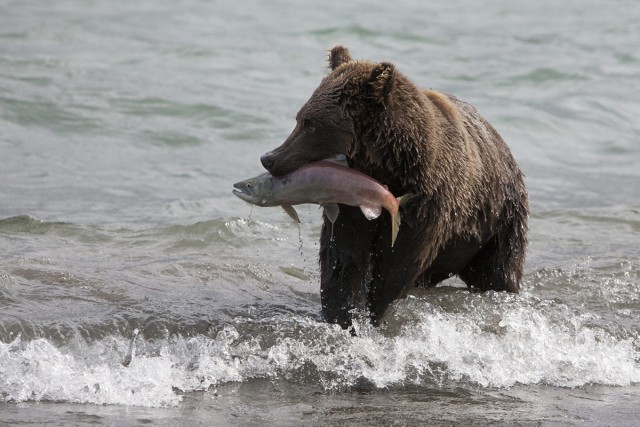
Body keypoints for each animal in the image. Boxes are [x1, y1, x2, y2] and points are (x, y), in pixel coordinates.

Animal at [260, 45, 528, 330]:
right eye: (299, 118)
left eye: (310, 124)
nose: (269, 158)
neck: (384, 169)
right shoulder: (349, 207)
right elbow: (342, 259)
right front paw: (344, 315)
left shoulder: (426, 204)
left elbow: (397, 264)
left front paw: (372, 310)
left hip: (499, 220)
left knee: (498, 270)